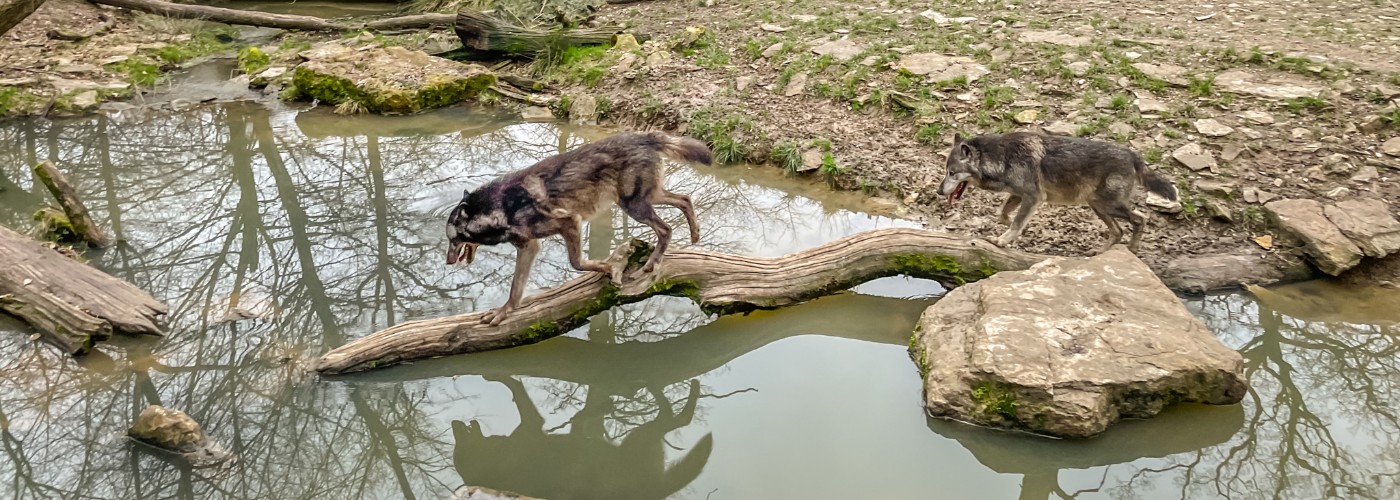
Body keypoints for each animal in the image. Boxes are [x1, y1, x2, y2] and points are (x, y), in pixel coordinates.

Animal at [448, 130, 711, 324]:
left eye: (453, 239)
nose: (448, 262)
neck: (502, 207)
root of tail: (647, 136)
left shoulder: (569, 223)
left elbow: (578, 263)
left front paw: (609, 268)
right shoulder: (529, 247)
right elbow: (515, 290)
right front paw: (504, 313)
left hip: (634, 206)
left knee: (666, 229)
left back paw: (652, 263)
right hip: (645, 199)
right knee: (685, 199)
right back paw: (695, 235)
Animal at [940, 131, 1181, 253]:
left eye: (952, 173)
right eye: (946, 171)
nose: (939, 191)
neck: (1003, 158)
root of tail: (1132, 155)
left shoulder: (1033, 197)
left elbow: (1016, 223)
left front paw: (1001, 241)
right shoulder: (1020, 195)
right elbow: (1004, 215)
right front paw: (1012, 230)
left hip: (1107, 205)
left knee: (1140, 219)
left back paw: (1131, 248)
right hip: (1098, 206)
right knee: (1118, 231)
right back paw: (1098, 253)